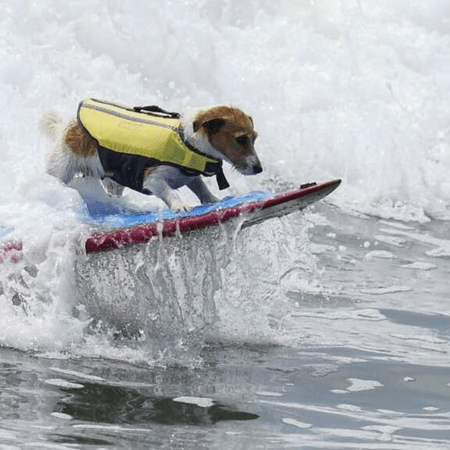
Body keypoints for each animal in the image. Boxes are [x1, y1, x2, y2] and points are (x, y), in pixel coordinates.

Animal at [41, 99, 264, 212]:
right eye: (241, 139)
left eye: (254, 138)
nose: (259, 169)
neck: (187, 142)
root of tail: (69, 126)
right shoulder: (153, 179)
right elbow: (171, 192)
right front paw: (180, 205)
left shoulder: (191, 177)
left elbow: (200, 188)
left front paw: (212, 199)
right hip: (61, 169)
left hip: (114, 182)